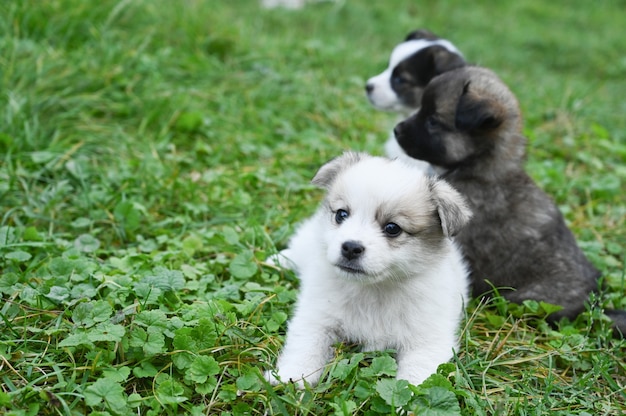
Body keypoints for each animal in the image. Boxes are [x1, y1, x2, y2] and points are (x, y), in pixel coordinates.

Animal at [266, 153, 470, 386]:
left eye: (392, 228)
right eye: (341, 215)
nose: (350, 247)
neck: (374, 289)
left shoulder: (428, 338)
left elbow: (419, 376)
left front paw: (410, 394)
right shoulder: (317, 316)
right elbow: (305, 346)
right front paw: (289, 376)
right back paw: (278, 260)